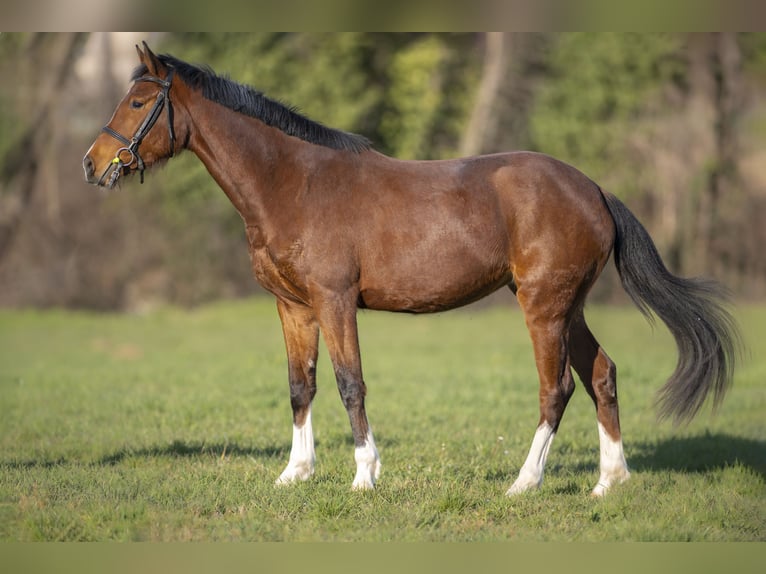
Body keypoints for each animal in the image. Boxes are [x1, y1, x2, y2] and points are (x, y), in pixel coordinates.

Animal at [81, 42, 740, 498]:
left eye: (138, 102)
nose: (91, 164)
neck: (294, 183)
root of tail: (594, 190)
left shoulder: (335, 301)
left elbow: (350, 384)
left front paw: (364, 477)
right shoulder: (293, 307)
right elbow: (301, 386)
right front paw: (295, 474)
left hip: (544, 307)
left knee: (557, 388)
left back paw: (524, 484)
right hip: (568, 306)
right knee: (602, 374)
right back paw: (609, 482)